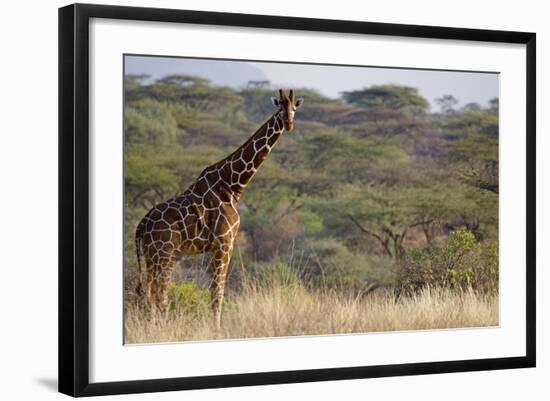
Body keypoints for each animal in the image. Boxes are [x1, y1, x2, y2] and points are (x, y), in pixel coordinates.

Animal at [135, 90, 304, 324]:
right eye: (280, 108)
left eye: (294, 108)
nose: (288, 123)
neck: (232, 186)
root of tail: (141, 226)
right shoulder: (224, 242)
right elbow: (217, 291)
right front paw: (216, 327)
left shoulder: (221, 244)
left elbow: (216, 291)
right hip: (164, 254)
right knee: (160, 293)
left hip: (152, 256)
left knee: (149, 292)